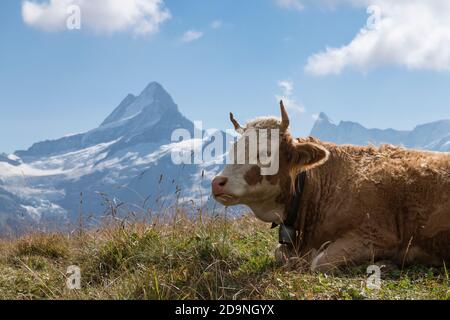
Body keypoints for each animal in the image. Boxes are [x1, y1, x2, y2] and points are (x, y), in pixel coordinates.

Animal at [213, 102, 450, 272]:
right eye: (233, 151)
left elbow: (319, 262)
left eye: (266, 153)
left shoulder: (377, 236)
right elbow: (278, 252)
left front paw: (387, 263)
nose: (217, 182)